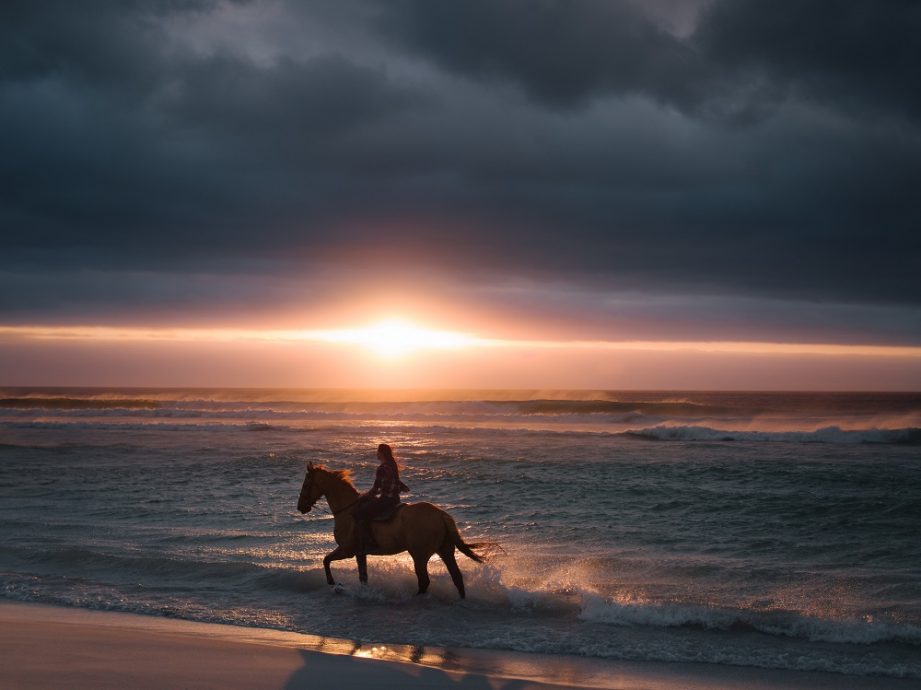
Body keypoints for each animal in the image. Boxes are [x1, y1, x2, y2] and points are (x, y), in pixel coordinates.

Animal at [298, 462, 486, 596]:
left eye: (306, 485)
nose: (300, 507)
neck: (348, 510)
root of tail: (441, 515)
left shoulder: (348, 550)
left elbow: (326, 560)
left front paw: (332, 582)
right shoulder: (359, 553)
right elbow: (362, 576)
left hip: (420, 555)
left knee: (424, 581)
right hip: (445, 550)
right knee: (457, 577)